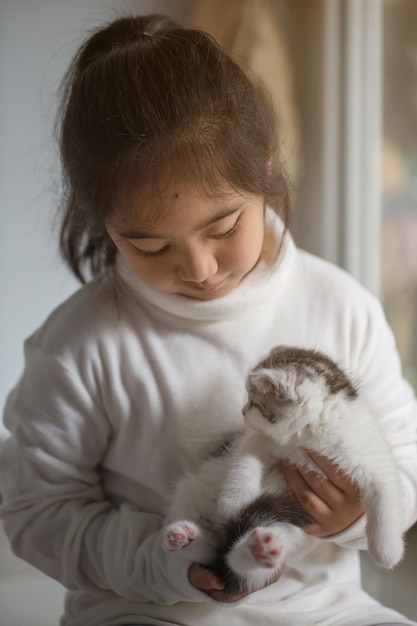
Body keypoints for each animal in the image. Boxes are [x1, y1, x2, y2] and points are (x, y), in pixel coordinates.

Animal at [161, 346, 404, 596]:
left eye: (253, 403)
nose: (242, 411)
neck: (309, 436)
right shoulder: (256, 440)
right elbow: (244, 463)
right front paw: (233, 500)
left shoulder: (373, 460)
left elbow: (386, 500)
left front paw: (387, 551)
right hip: (189, 491)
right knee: (213, 555)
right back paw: (183, 537)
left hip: (287, 531)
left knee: (239, 567)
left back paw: (256, 549)